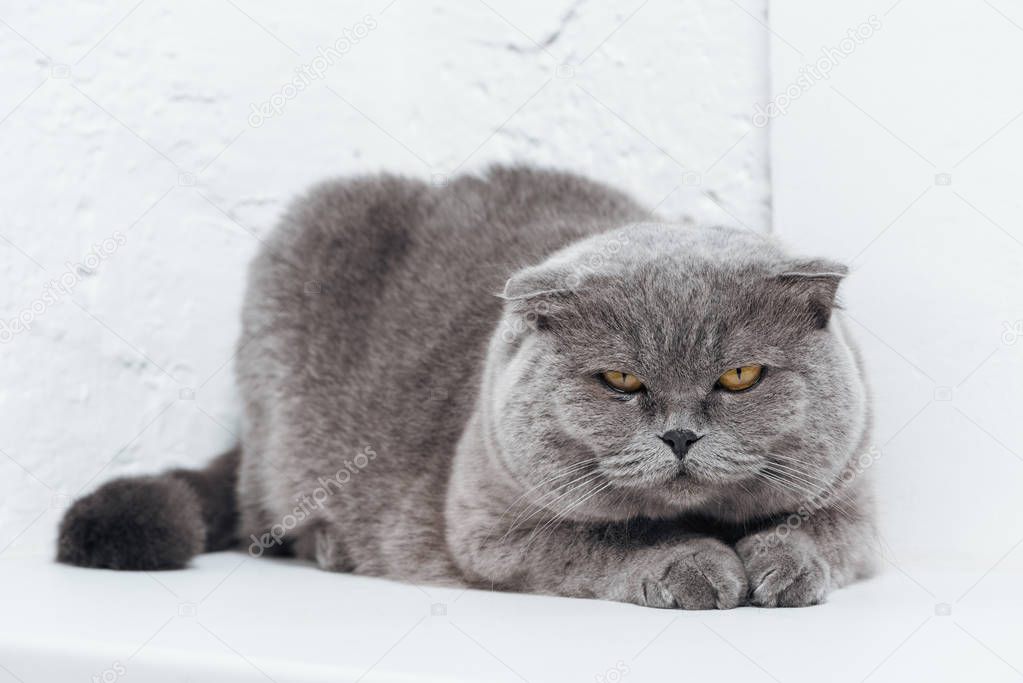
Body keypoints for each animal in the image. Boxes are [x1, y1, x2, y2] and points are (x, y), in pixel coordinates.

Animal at [56, 163, 875, 609]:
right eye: (619, 379)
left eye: (740, 376)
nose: (679, 434)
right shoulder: (491, 523)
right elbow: (615, 536)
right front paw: (696, 566)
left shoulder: (855, 502)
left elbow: (818, 534)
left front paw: (782, 568)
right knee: (265, 509)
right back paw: (328, 544)